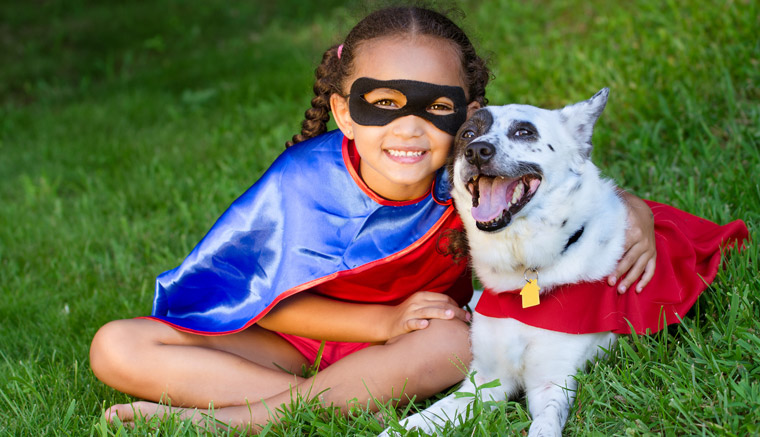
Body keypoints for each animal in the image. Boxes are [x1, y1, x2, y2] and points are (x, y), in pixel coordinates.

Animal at [382, 87, 628, 434]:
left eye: (524, 132)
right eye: (467, 134)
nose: (476, 152)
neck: (523, 269)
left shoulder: (552, 383)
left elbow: (544, 425)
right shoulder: (484, 381)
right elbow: (425, 418)